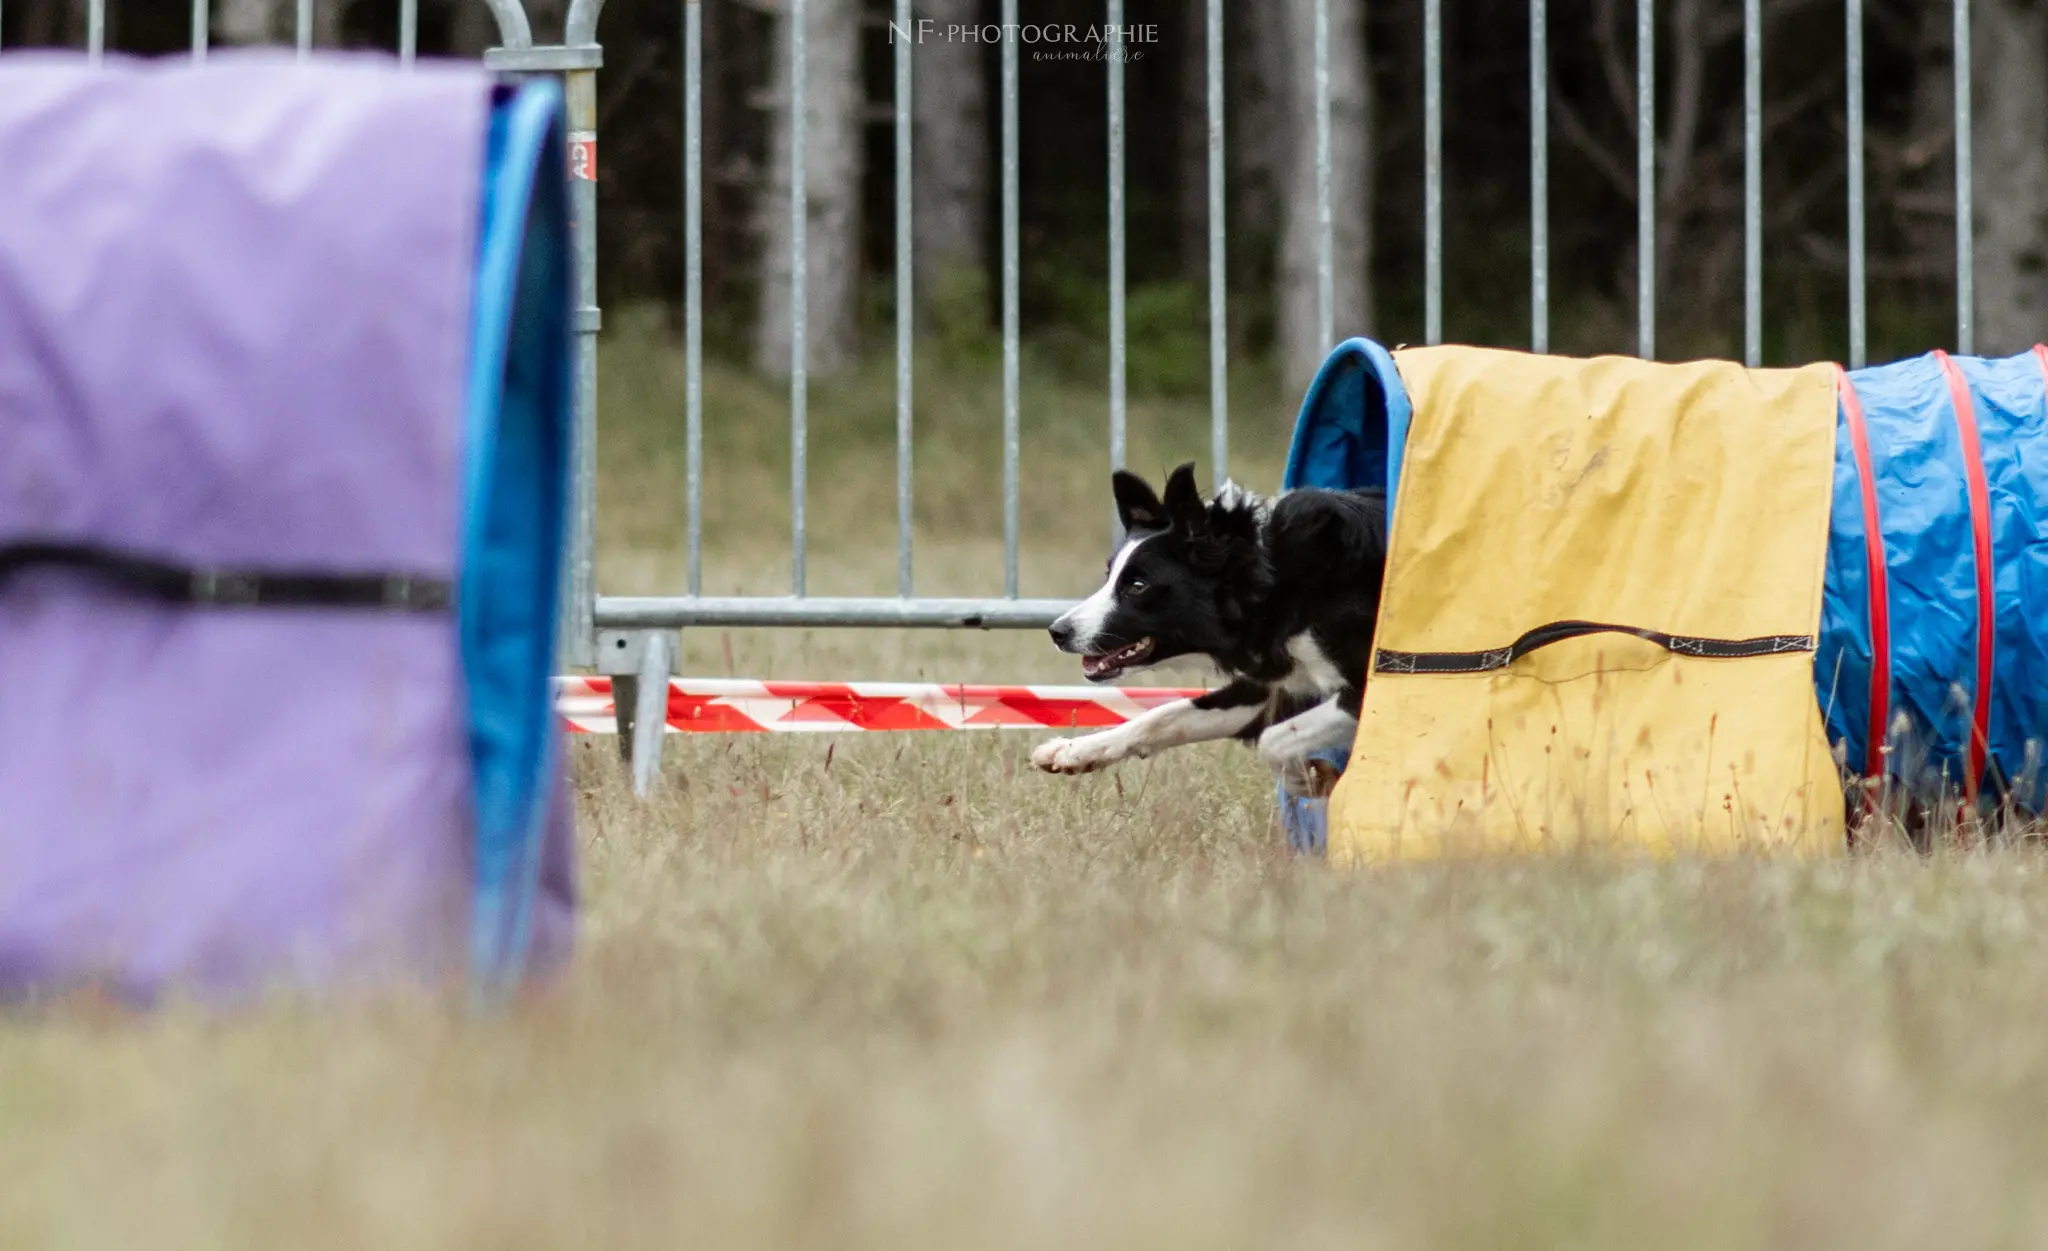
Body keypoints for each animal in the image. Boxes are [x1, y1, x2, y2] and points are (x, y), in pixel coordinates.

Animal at [1024, 460, 1392, 794]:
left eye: (1138, 586)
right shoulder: (1275, 683)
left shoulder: (1368, 684)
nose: (1057, 631)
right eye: (1109, 576)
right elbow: (1166, 715)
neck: (1270, 581)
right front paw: (1074, 751)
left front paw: (1307, 779)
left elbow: (1271, 740)